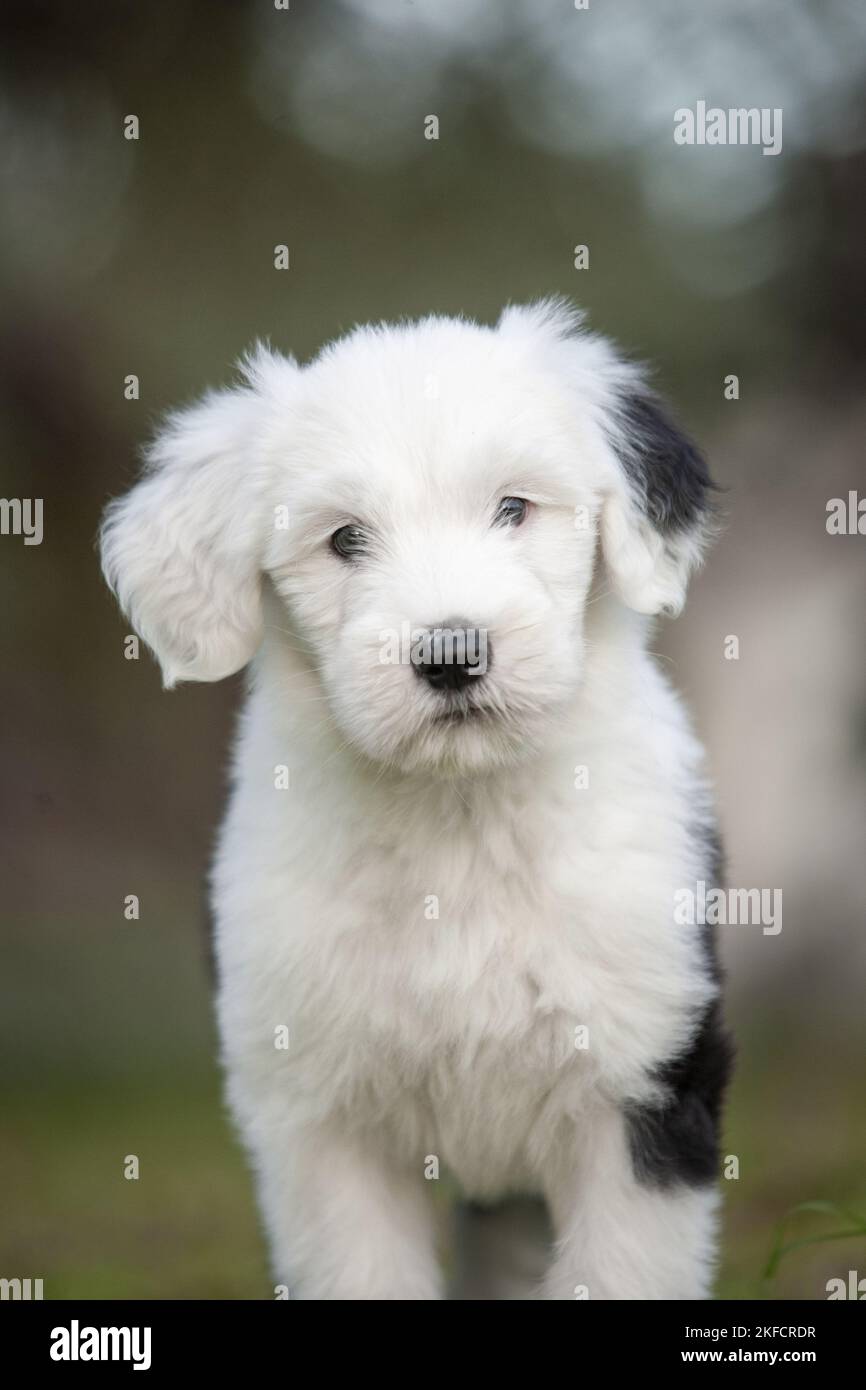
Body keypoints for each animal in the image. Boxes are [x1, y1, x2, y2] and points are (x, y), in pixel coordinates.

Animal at [104, 304, 733, 1301]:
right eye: (344, 539)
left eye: (514, 508)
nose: (451, 654)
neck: (457, 820)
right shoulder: (316, 1121)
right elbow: (359, 1269)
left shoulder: (646, 1076)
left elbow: (620, 1271)